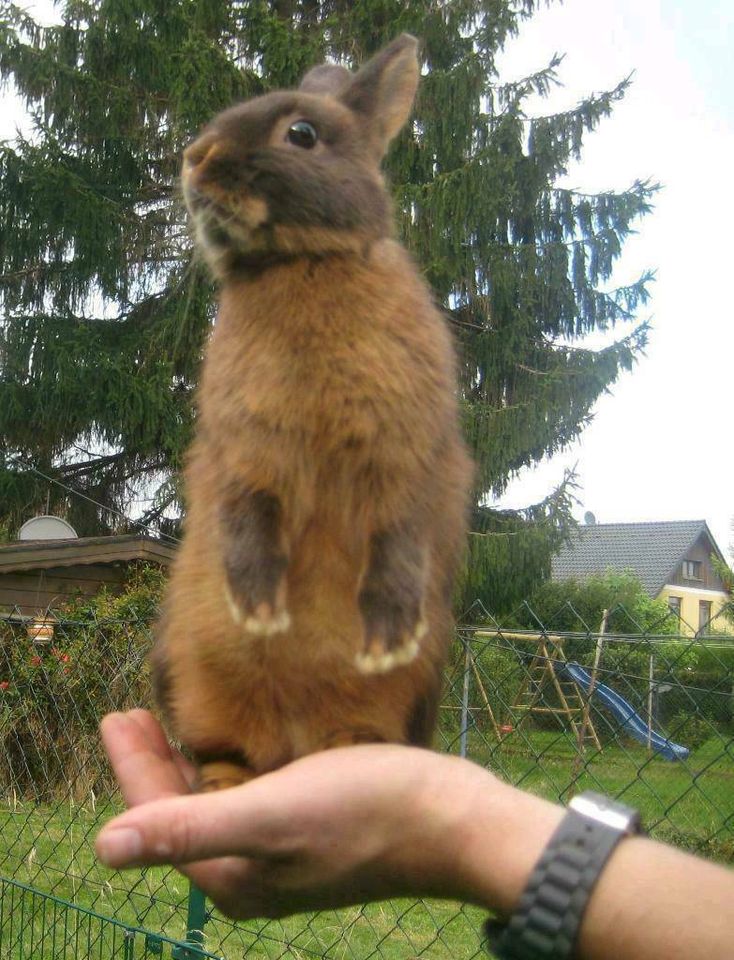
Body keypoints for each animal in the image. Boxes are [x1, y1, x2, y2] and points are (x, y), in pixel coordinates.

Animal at [155, 33, 474, 792]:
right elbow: (248, 521)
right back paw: (226, 783)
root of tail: (292, 740)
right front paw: (259, 612)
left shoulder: (407, 456)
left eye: (301, 134)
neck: (302, 264)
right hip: (189, 671)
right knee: (222, 749)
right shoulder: (245, 451)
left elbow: (399, 540)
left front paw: (388, 641)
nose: (195, 157)